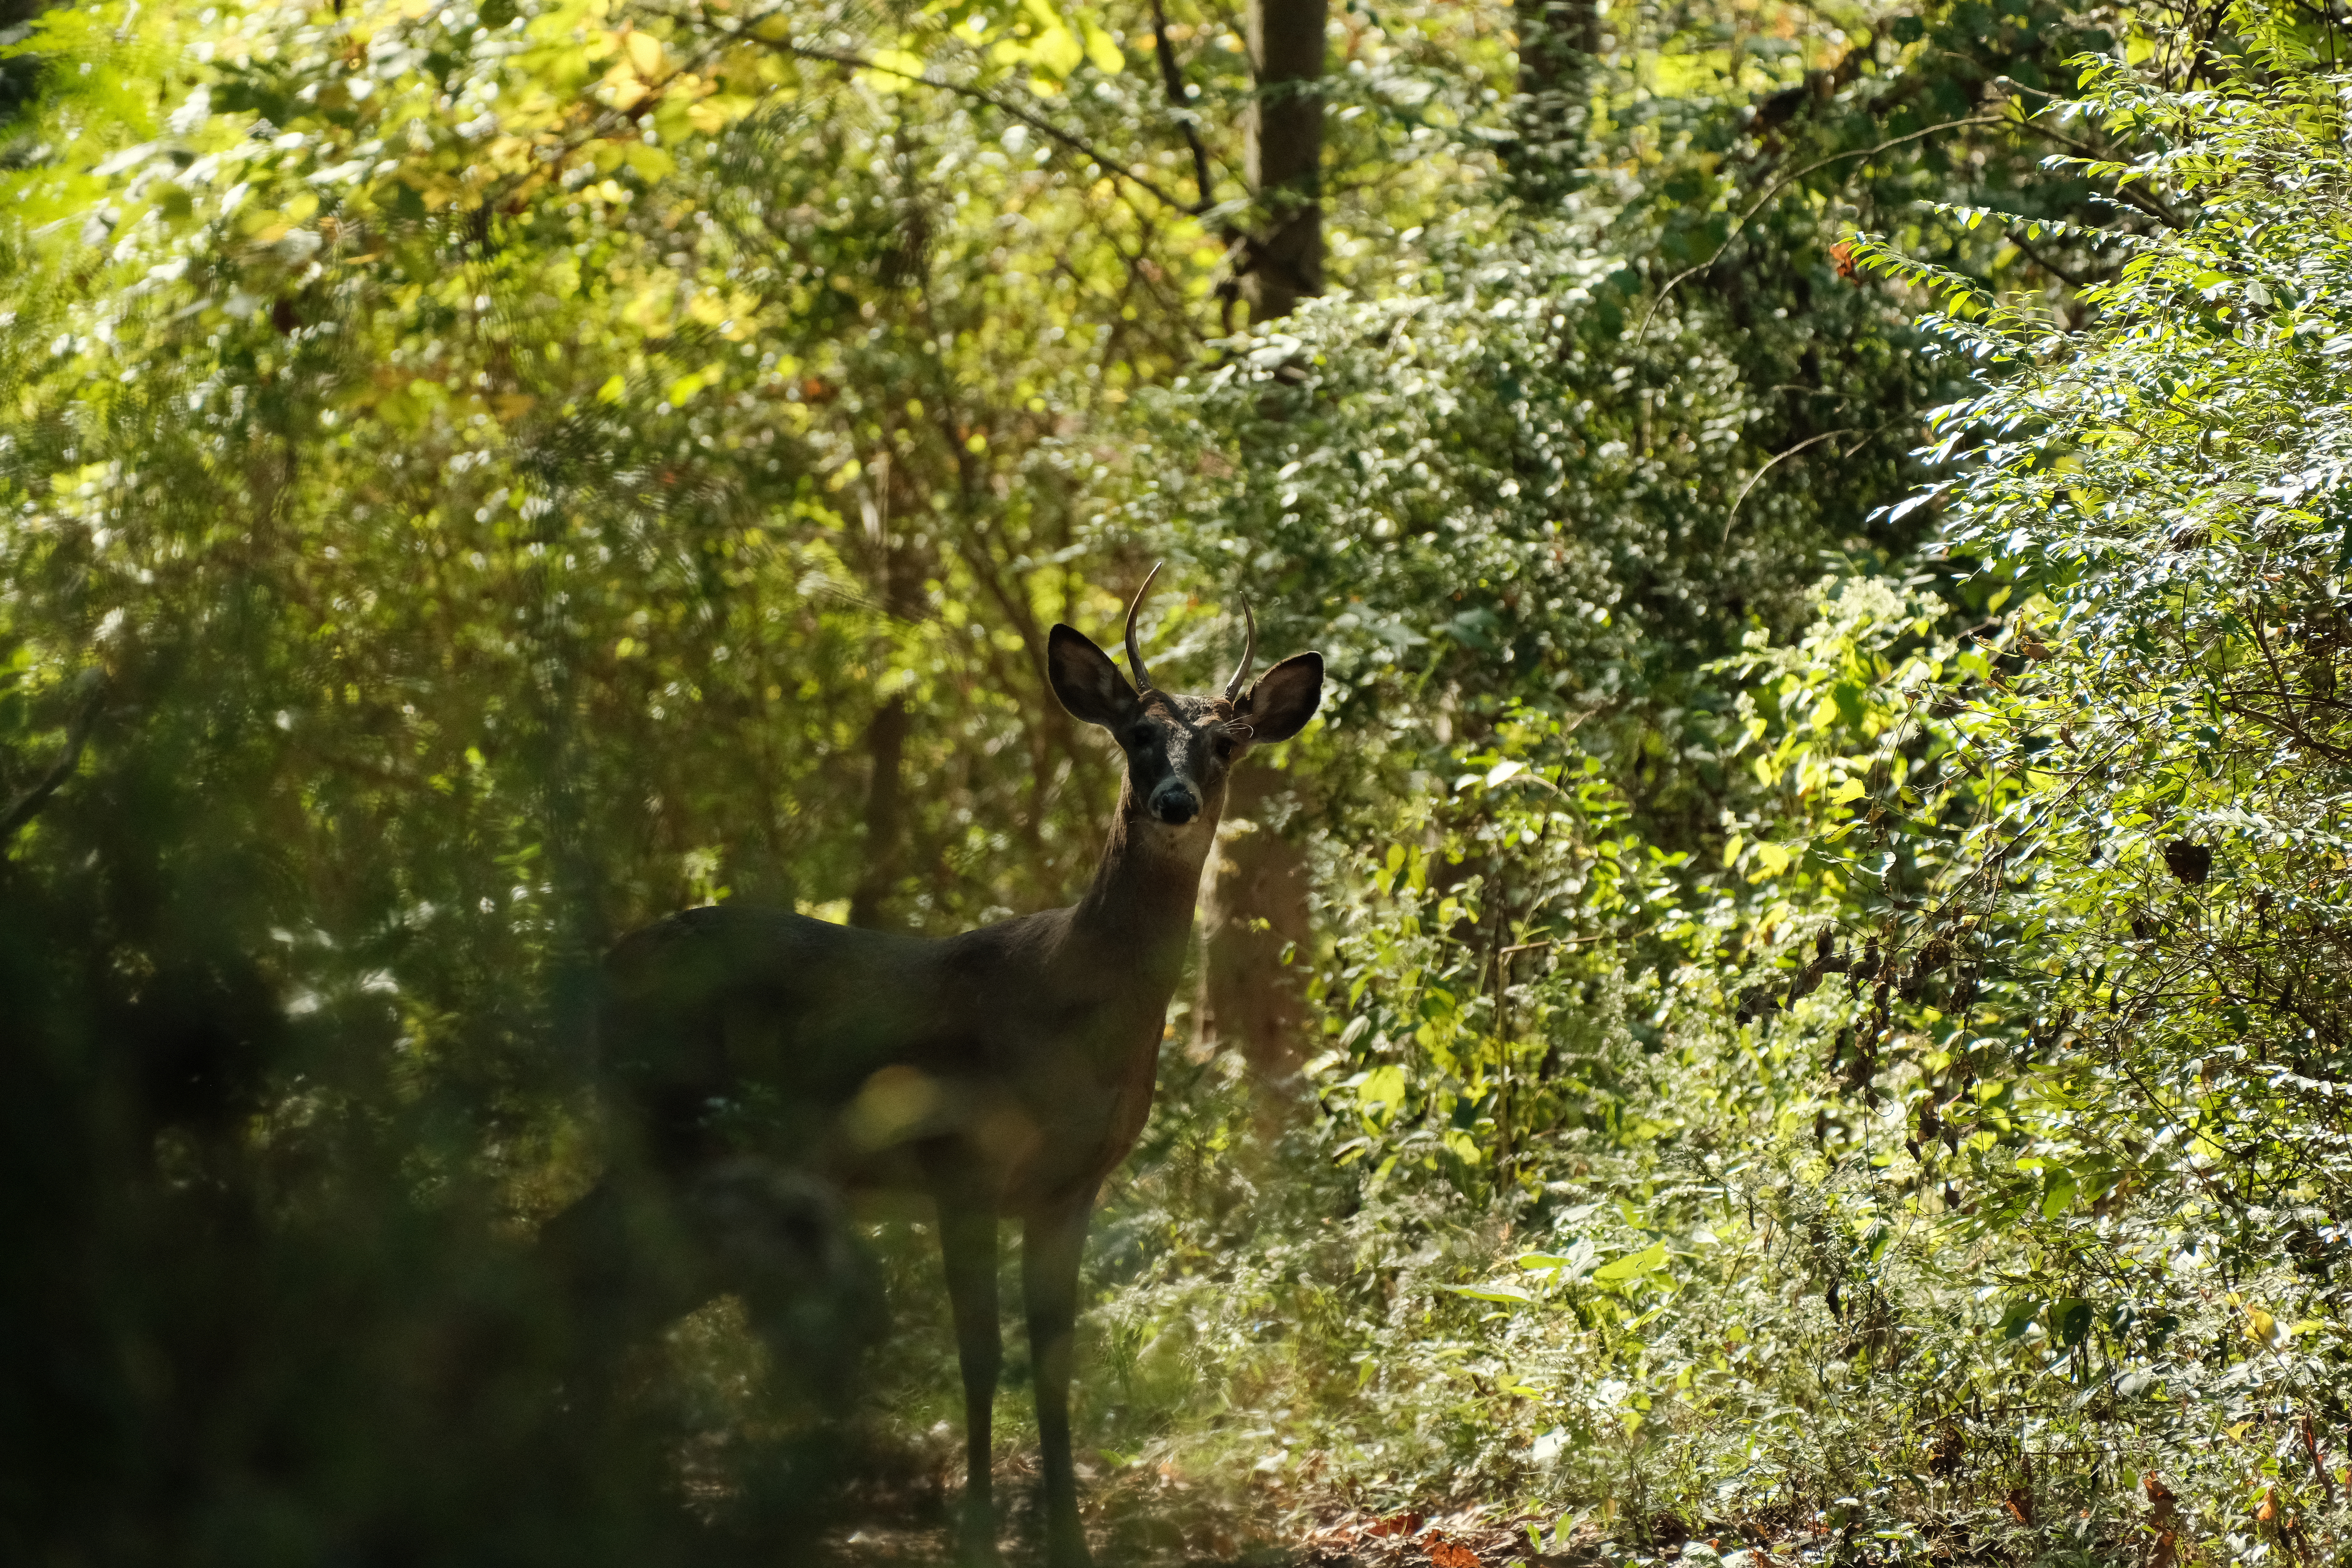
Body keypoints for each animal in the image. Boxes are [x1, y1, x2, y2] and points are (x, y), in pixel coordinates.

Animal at [548, 566, 1324, 1567]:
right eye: (1137, 736)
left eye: (1227, 742)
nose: (1175, 803)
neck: (1069, 1012)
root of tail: (605, 974)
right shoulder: (961, 1163)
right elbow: (980, 1355)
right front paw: (979, 1534)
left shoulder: (1070, 1186)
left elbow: (1054, 1363)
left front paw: (1067, 1540)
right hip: (671, 1129)